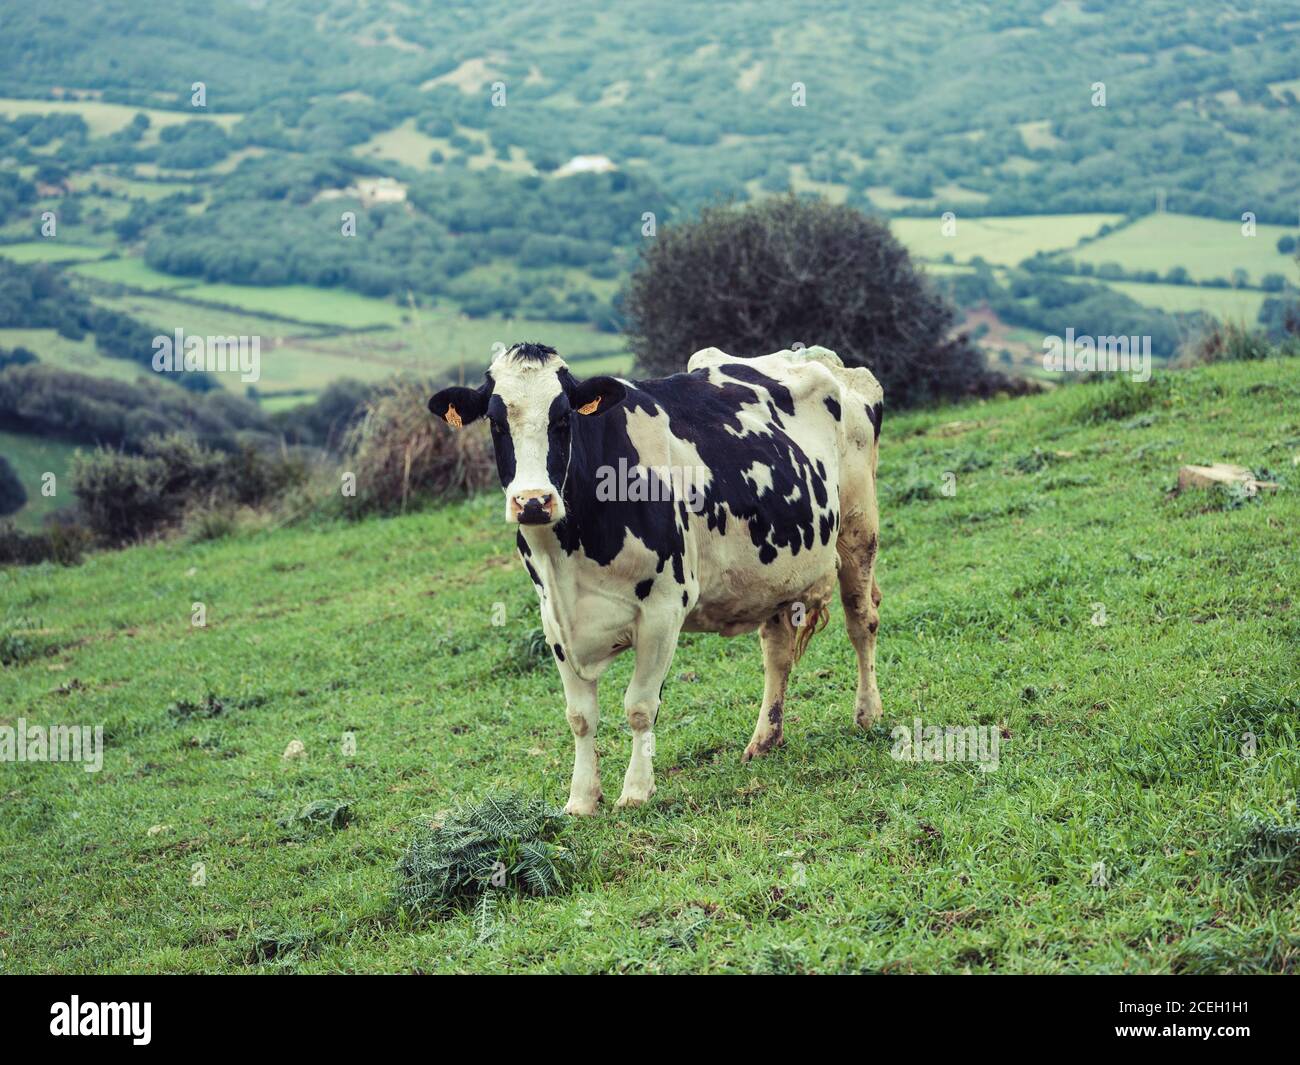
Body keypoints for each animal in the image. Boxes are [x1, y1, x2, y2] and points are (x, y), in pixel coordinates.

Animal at [428, 342, 883, 815]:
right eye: (497, 422)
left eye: (563, 419)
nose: (533, 502)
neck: (567, 555)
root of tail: (820, 357)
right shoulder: (553, 620)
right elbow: (580, 717)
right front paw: (581, 798)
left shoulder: (663, 609)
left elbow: (641, 706)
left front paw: (635, 790)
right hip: (775, 574)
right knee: (777, 653)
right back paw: (764, 740)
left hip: (859, 530)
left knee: (862, 622)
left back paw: (867, 713)